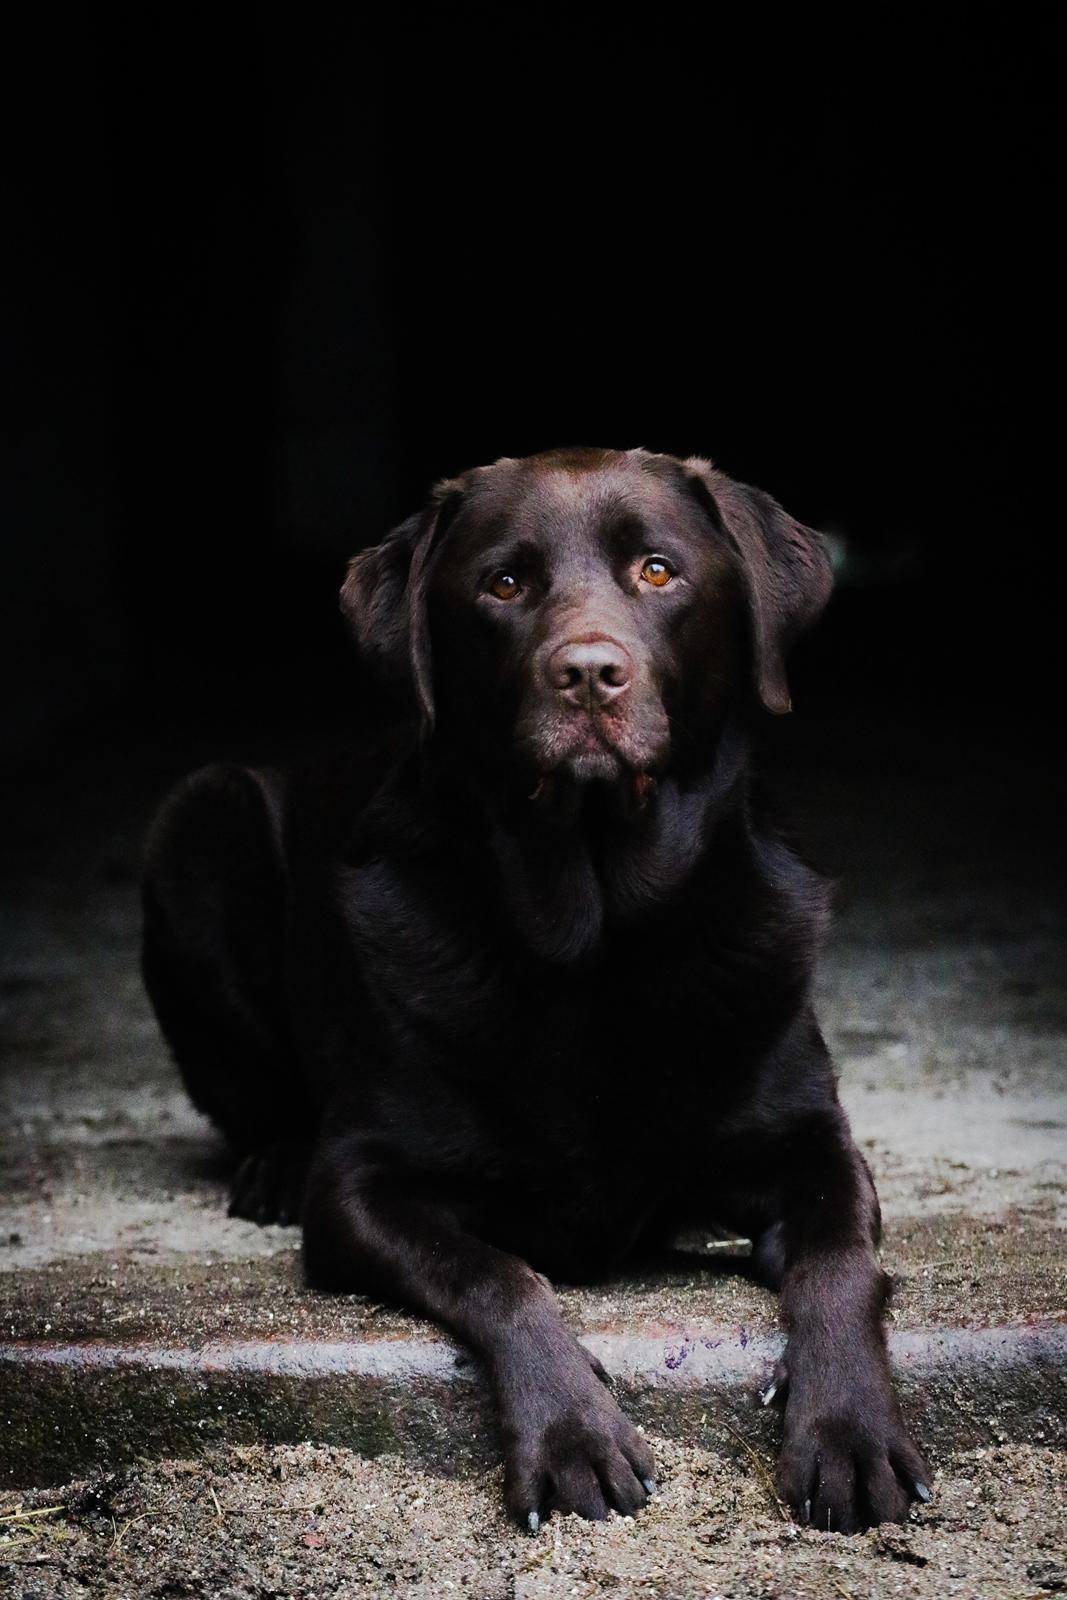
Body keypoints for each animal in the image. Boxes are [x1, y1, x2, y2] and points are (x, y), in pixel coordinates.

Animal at [141, 448, 927, 1523]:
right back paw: (272, 1165)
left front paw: (848, 1431)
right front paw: (570, 1433)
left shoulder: (815, 1146)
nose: (588, 673)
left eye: (656, 571)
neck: (597, 943)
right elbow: (498, 1272)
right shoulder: (362, 1186)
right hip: (200, 816)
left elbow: (843, 1265)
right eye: (504, 584)